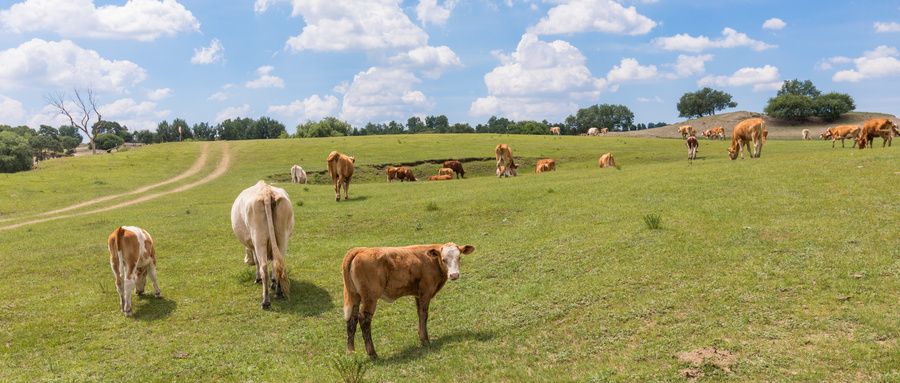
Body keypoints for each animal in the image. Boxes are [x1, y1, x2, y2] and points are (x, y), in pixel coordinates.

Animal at [230, 182, 294, 310]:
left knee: (264, 268)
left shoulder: (254, 245)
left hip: (258, 237)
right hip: (282, 237)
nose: (246, 261)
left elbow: (257, 262)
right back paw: (279, 292)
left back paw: (265, 302)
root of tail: (266, 191)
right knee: (278, 264)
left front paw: (257, 279)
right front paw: (273, 283)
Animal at [342, 243, 474, 360]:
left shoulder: (418, 294)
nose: (454, 275)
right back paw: (372, 353)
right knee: (364, 319)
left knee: (352, 320)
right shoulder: (426, 291)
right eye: (443, 259)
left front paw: (420, 335)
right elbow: (424, 314)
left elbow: (419, 313)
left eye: (459, 257)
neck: (433, 262)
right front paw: (425, 339)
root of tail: (361, 250)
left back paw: (350, 353)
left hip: (354, 295)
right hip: (370, 297)